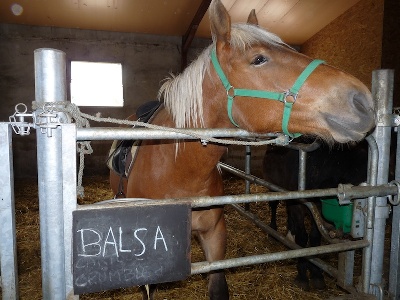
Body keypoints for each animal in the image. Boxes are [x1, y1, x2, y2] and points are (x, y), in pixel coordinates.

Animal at [262, 140, 368, 290]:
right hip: (273, 186)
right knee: (274, 205)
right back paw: (273, 230)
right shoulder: (299, 206)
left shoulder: (317, 211)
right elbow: (302, 237)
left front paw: (316, 274)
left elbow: (315, 238)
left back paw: (289, 235)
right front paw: (302, 275)